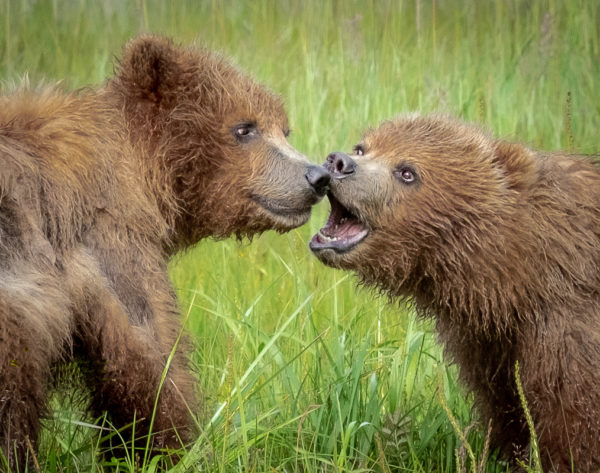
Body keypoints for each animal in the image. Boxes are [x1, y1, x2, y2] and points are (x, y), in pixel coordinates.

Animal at [0, 34, 330, 468]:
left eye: (284, 129)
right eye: (244, 128)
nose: (317, 175)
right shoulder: (108, 240)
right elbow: (149, 358)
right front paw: (167, 452)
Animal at [312, 114, 600, 472]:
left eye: (407, 172)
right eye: (363, 147)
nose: (339, 162)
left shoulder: (570, 327)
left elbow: (572, 424)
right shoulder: (490, 344)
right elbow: (507, 405)